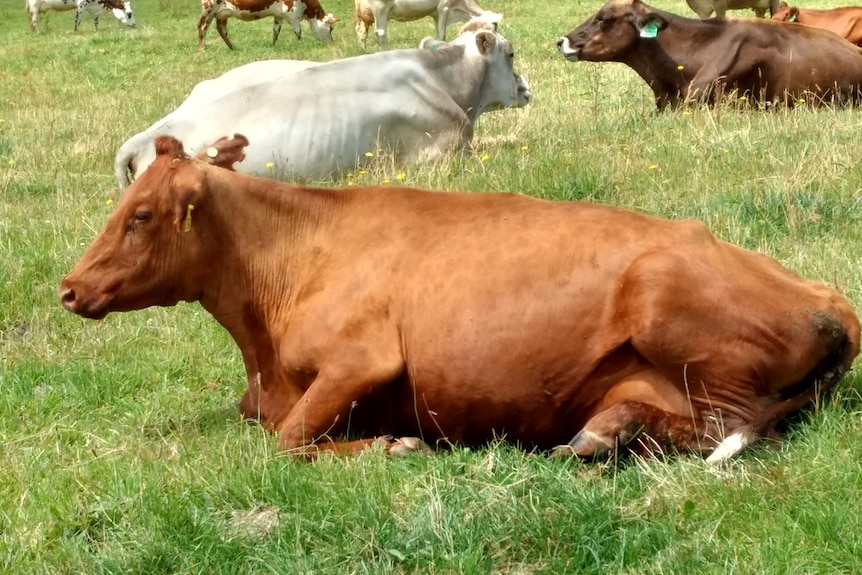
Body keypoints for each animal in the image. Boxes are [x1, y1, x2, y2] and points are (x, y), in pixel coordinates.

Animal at [57, 134, 860, 464]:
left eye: (140, 215)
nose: (69, 287)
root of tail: (830, 293)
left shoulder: (364, 360)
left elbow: (287, 442)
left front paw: (392, 444)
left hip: (670, 302)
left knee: (733, 427)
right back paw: (604, 433)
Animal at [199, 0, 338, 50]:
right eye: (330, 29)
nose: (331, 42)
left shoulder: (279, 15)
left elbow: (276, 30)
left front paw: (273, 46)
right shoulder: (292, 13)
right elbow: (298, 31)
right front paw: (301, 45)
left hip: (222, 14)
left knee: (221, 28)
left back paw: (233, 47)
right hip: (208, 8)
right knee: (202, 27)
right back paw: (202, 49)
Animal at [352, 0, 500, 49]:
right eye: (492, 27)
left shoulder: (435, 13)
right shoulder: (443, 7)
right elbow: (442, 34)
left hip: (364, 16)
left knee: (361, 32)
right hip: (380, 9)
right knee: (381, 34)